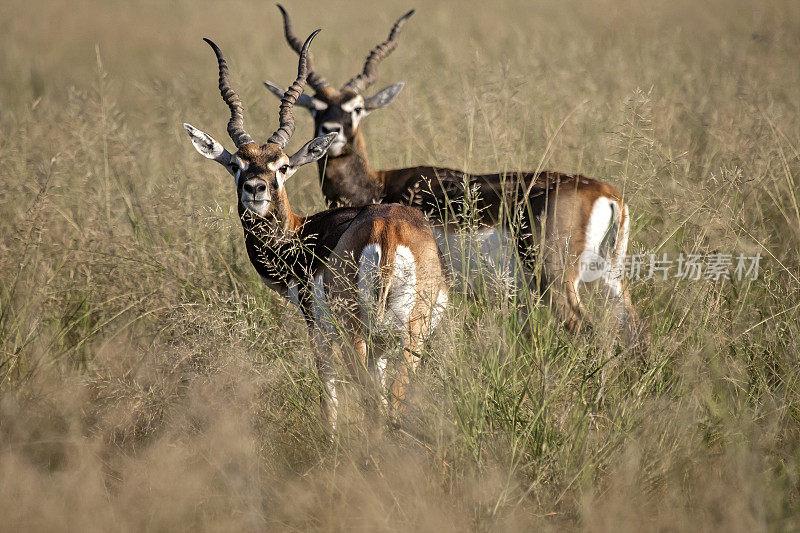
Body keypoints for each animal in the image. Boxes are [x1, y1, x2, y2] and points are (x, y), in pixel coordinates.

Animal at [184, 29, 446, 430]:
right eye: (236, 164)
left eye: (282, 166)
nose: (256, 189)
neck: (302, 234)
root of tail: (387, 230)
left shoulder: (317, 330)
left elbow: (328, 391)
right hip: (408, 336)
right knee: (394, 403)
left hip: (357, 334)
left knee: (374, 402)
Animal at [266, 7, 648, 340]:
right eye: (316, 107)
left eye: (357, 107)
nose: (332, 132)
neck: (379, 186)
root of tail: (607, 194)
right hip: (612, 280)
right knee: (634, 332)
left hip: (556, 282)